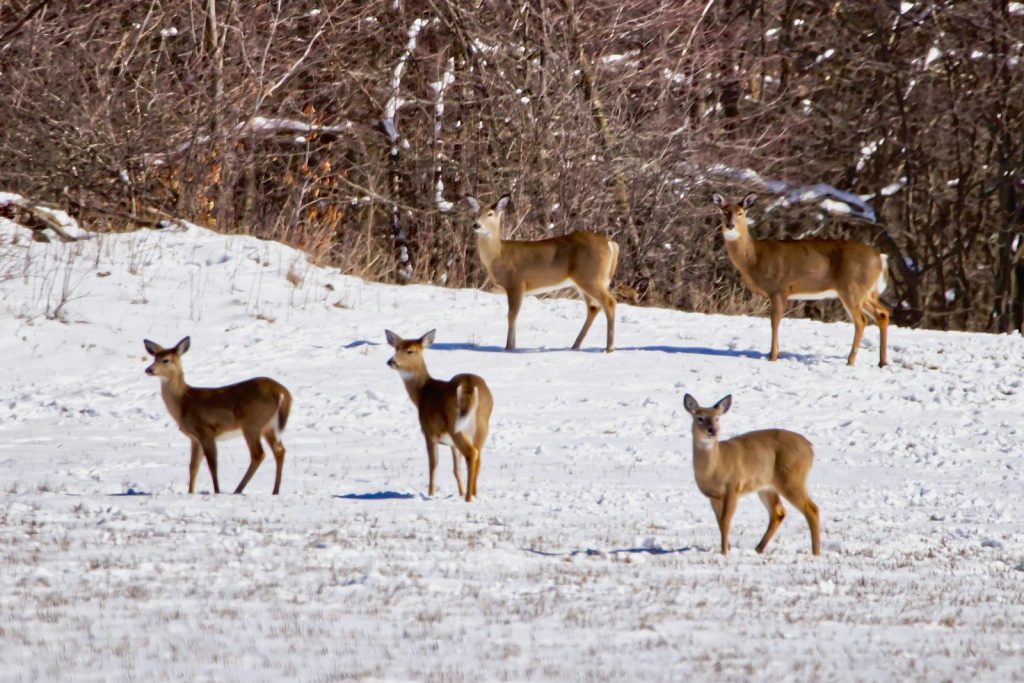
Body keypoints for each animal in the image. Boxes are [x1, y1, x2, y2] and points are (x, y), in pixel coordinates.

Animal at [143, 337, 292, 495]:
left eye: (165, 360)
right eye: (154, 357)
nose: (148, 369)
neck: (184, 402)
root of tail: (282, 392)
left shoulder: (205, 431)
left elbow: (212, 464)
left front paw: (217, 491)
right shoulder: (194, 438)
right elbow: (193, 467)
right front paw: (190, 492)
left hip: (252, 422)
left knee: (258, 453)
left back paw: (238, 490)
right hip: (268, 426)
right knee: (279, 450)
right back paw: (275, 491)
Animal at [385, 329, 494, 502]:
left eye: (410, 351)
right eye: (396, 348)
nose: (391, 361)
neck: (422, 393)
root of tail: (468, 386)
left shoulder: (429, 432)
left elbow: (433, 466)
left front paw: (430, 494)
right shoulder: (451, 445)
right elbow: (456, 469)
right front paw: (459, 493)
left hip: (455, 423)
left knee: (471, 454)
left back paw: (468, 499)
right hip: (482, 422)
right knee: (478, 456)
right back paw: (473, 495)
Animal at [464, 194, 620, 352]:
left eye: (490, 214)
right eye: (476, 213)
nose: (476, 225)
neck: (498, 255)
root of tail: (611, 244)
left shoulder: (516, 283)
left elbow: (512, 315)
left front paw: (508, 347)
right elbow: (514, 316)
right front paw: (512, 346)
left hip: (590, 277)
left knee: (609, 302)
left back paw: (609, 348)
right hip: (583, 281)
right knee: (594, 307)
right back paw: (575, 345)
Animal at [683, 393, 820, 556]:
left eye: (717, 418)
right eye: (700, 418)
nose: (712, 430)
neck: (715, 468)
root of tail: (810, 447)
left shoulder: (733, 487)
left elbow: (725, 522)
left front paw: (724, 552)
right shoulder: (714, 496)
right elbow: (720, 522)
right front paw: (727, 548)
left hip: (792, 479)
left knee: (812, 509)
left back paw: (816, 552)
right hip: (766, 487)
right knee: (778, 512)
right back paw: (759, 548)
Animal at [712, 192, 890, 367]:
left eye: (741, 213)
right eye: (724, 212)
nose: (730, 225)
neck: (753, 258)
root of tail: (880, 258)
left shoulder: (779, 287)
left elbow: (774, 321)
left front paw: (772, 357)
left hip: (851, 287)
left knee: (861, 321)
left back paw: (850, 361)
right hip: (864, 291)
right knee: (882, 314)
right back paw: (881, 362)